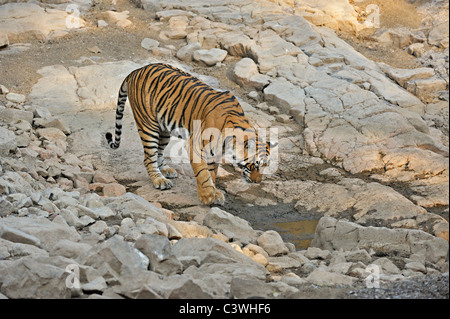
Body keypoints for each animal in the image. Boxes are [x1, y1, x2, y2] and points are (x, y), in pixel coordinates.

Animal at [106, 63, 274, 206]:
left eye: (265, 165)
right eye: (256, 165)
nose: (257, 182)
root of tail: (136, 70)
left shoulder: (215, 153)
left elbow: (212, 173)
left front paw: (215, 193)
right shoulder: (195, 145)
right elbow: (203, 173)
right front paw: (207, 196)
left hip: (164, 129)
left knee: (158, 153)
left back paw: (166, 171)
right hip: (148, 125)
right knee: (148, 158)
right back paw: (160, 180)